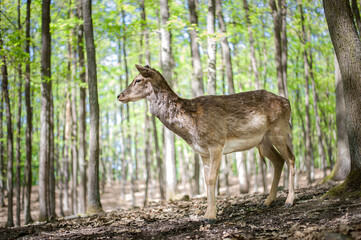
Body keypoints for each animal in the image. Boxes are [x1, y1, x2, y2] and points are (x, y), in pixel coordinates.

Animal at [116, 64, 294, 222]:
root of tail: (288, 102)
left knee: (291, 159)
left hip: (279, 130)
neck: (191, 126)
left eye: (138, 79)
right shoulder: (202, 152)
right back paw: (267, 202)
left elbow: (211, 179)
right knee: (279, 161)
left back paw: (289, 201)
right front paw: (206, 214)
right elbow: (205, 181)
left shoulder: (217, 143)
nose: (119, 95)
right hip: (263, 141)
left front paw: (211, 217)